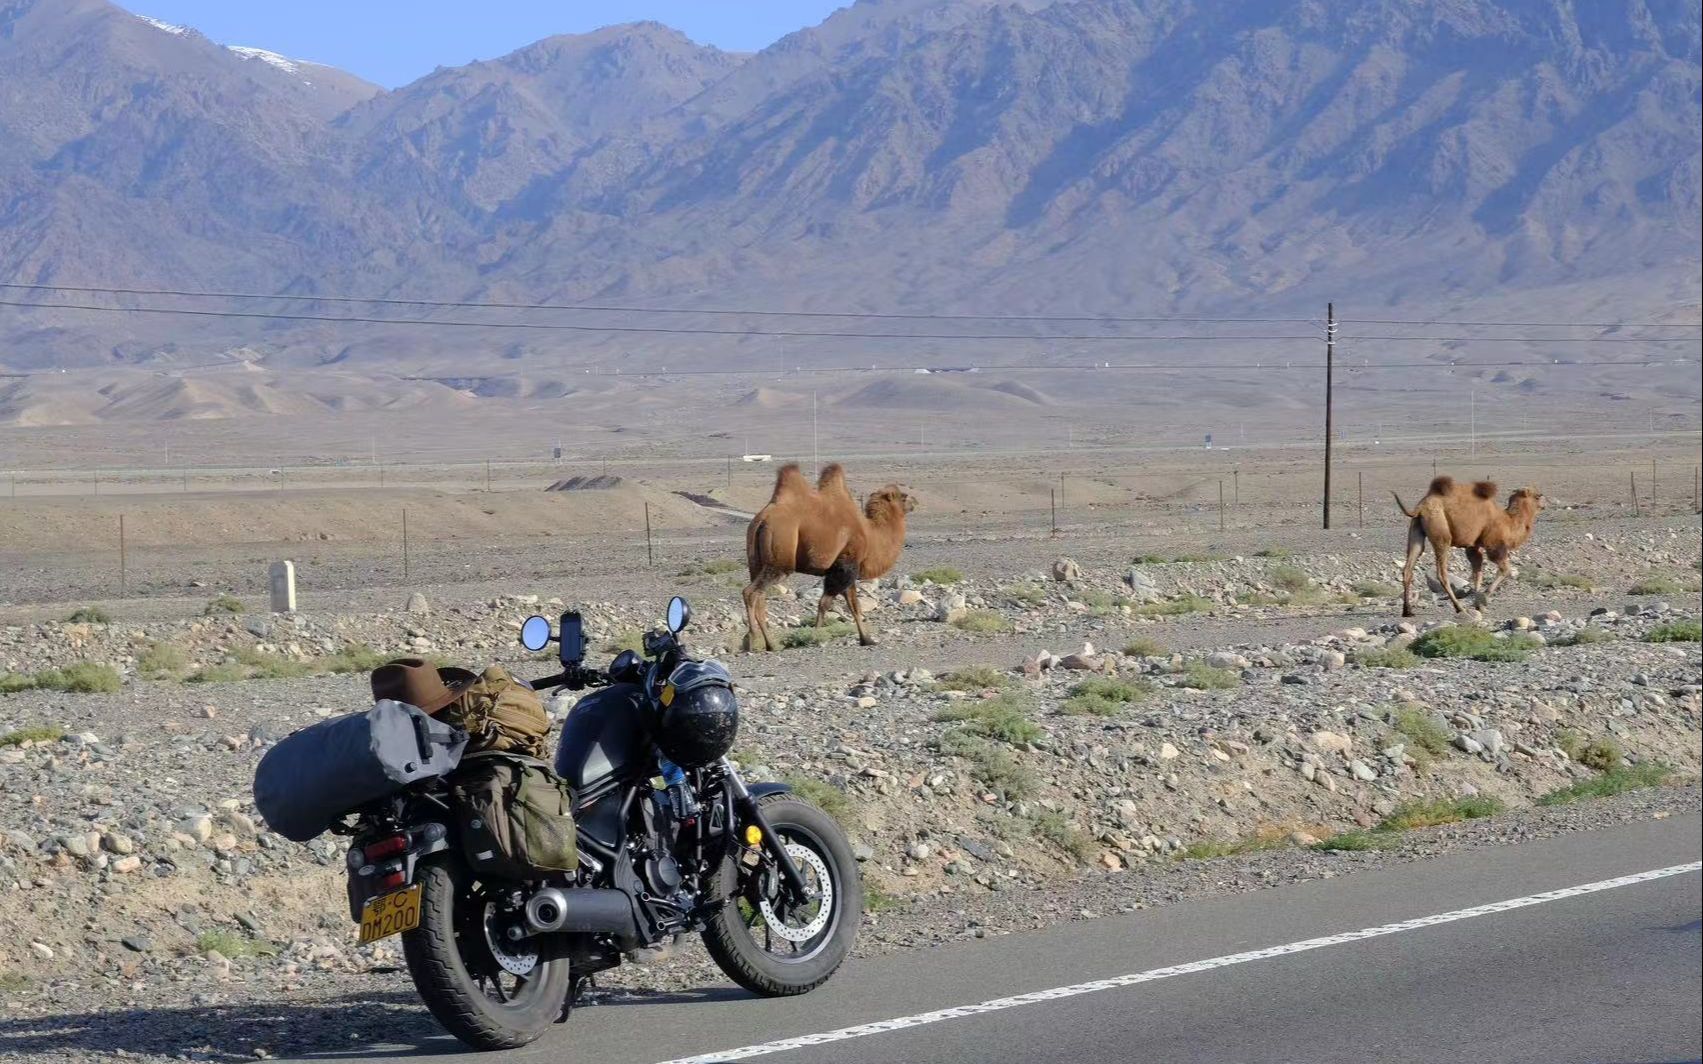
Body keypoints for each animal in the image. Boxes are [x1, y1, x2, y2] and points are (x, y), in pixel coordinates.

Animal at [739, 463, 912, 650]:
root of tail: (762, 520)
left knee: (760, 596)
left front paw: (867, 639)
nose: (915, 502)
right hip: (780, 557)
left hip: (755, 561)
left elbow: (854, 605)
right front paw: (815, 636)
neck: (871, 534)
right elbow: (825, 603)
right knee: (751, 592)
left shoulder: (845, 569)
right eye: (904, 497)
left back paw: (770, 644)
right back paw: (752, 640)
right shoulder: (845, 564)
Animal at [1396, 476, 1546, 619]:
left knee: (1409, 568)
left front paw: (1478, 605)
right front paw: (1483, 599)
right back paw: (1459, 608)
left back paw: (1407, 611)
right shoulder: (1494, 545)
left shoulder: (1473, 546)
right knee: (1442, 573)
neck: (1508, 521)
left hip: (1416, 531)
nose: (1544, 504)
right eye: (1538, 496)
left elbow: (1477, 573)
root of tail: (1421, 507)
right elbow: (1505, 570)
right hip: (1441, 533)